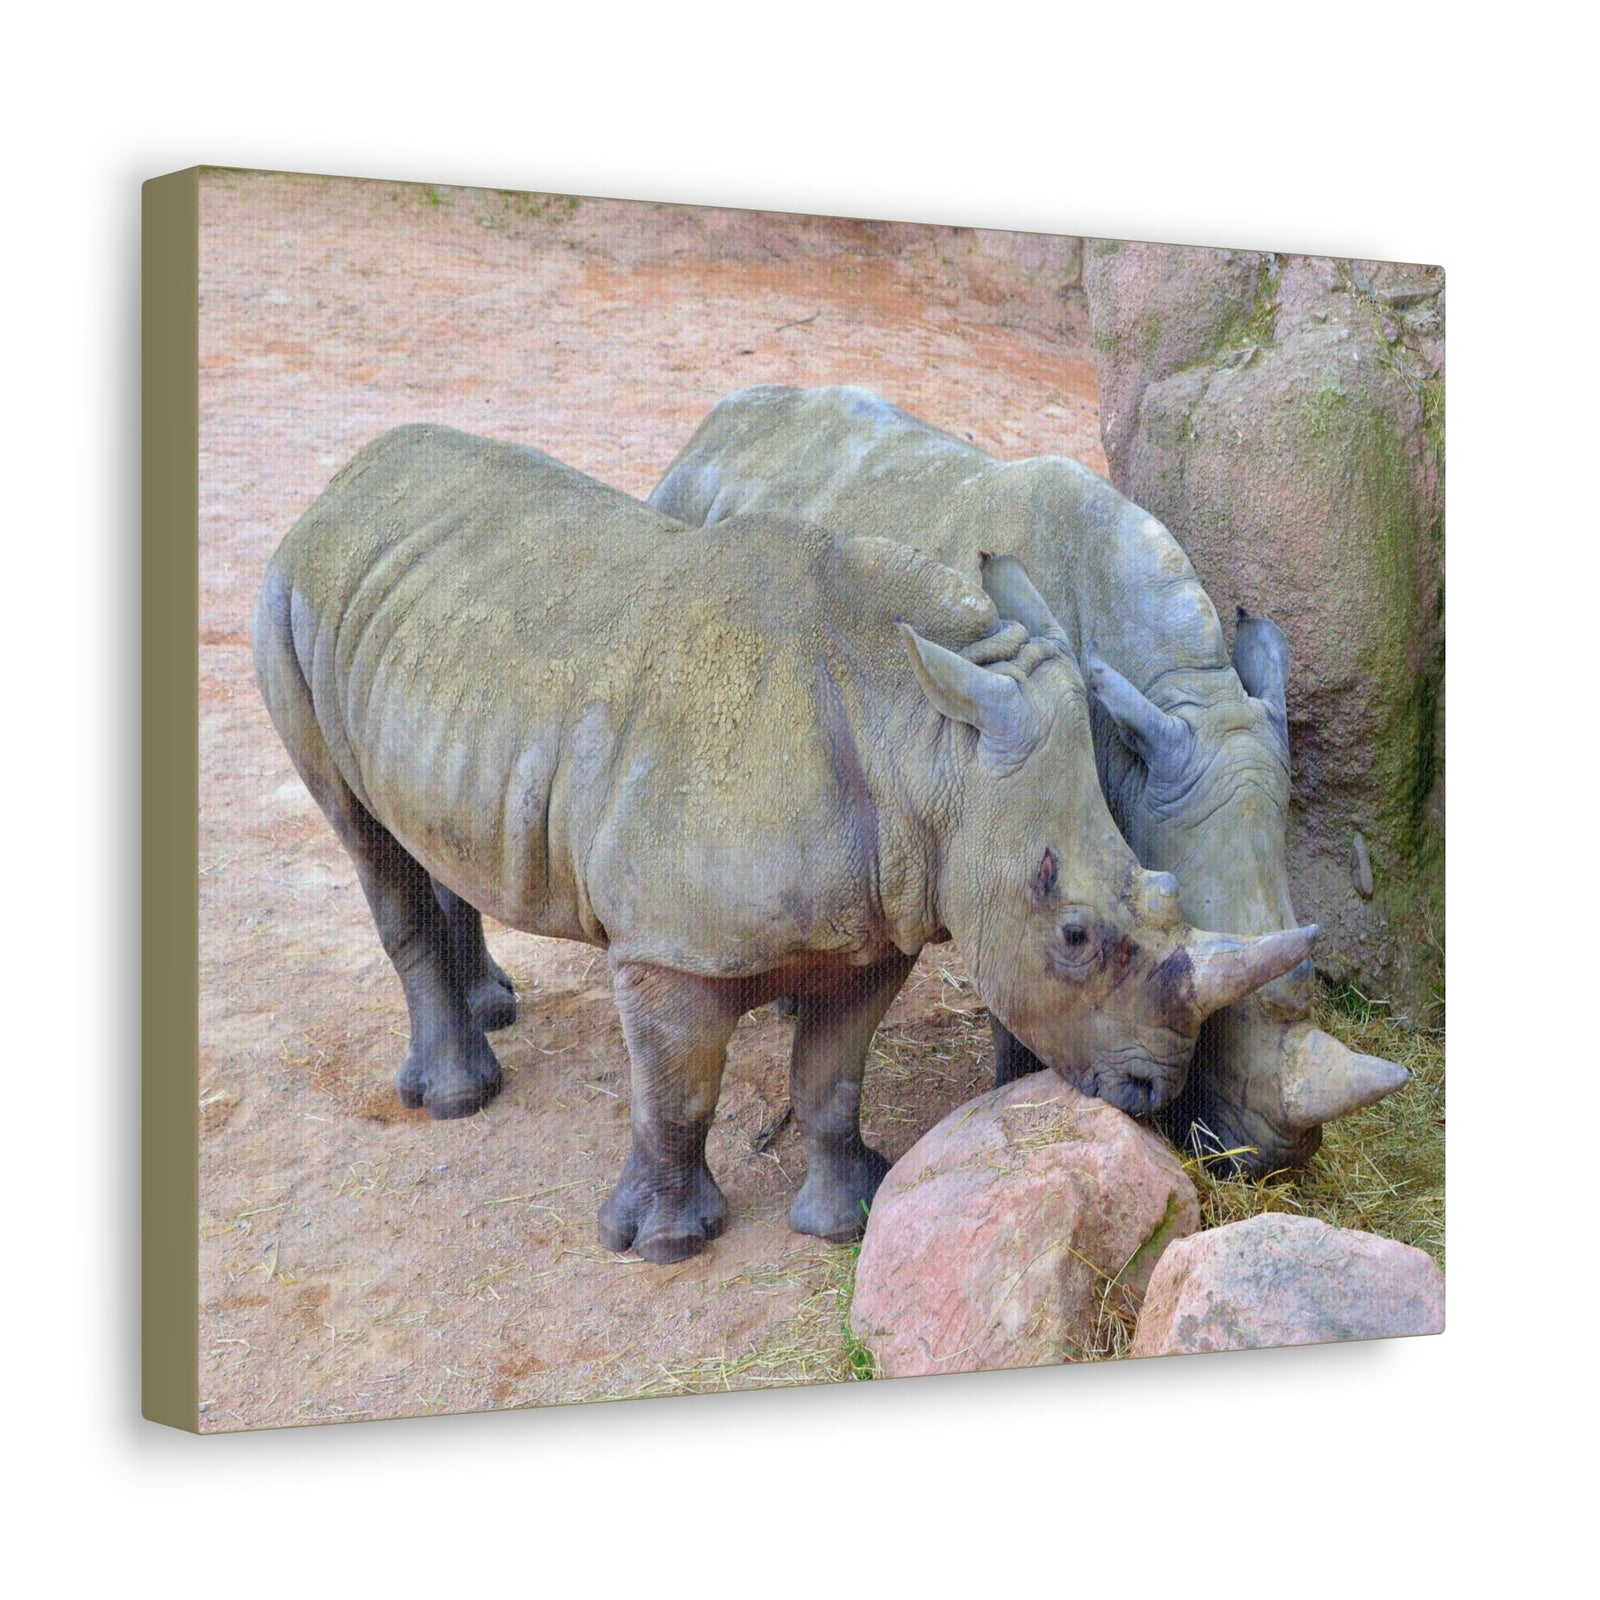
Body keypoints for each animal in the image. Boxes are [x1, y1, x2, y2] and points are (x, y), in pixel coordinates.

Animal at [253, 423, 1320, 1261]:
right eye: (1074, 936)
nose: (1151, 1086)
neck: (925, 743)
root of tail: (345, 479)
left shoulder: (884, 915)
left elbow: (831, 1078)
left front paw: (846, 1217)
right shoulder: (669, 946)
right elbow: (677, 1090)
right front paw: (664, 1245)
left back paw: (493, 1010)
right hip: (287, 595)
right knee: (360, 833)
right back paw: (458, 1100)